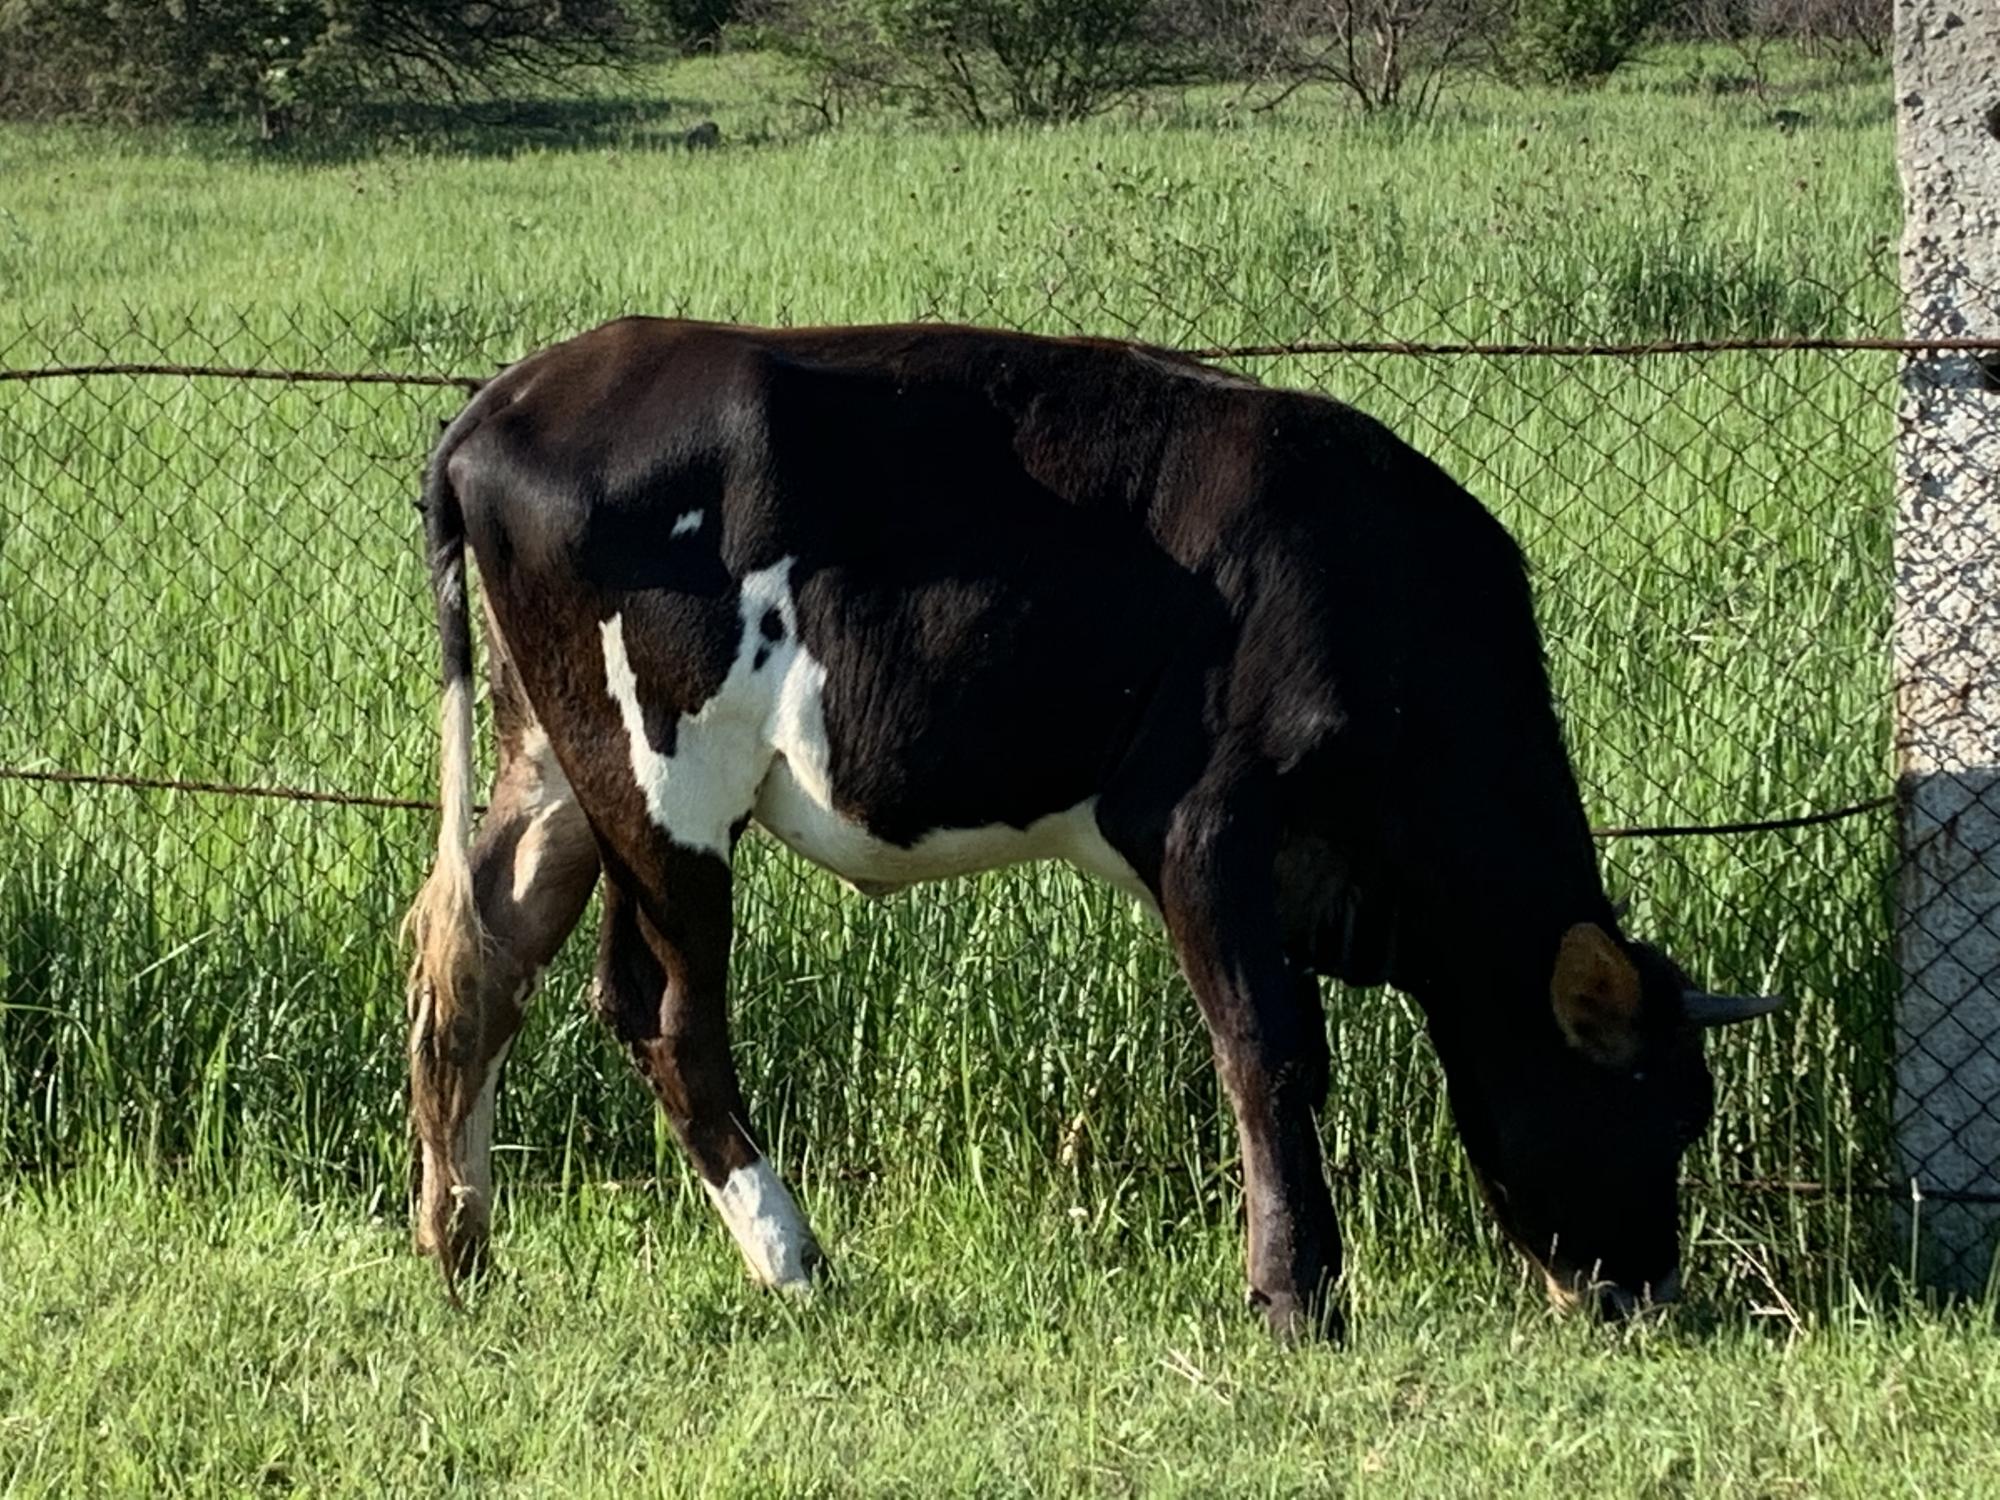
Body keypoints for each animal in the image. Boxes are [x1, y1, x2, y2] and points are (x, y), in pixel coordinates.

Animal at [406, 320, 1784, 1336]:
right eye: (1647, 1111)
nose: (1644, 1299)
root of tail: (514, 394)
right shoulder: (1202, 825)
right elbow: (1269, 1056)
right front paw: (1296, 1297)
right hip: (662, 777)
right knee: (662, 1015)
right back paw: (794, 1262)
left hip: (554, 761)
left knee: (473, 960)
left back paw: (461, 1246)